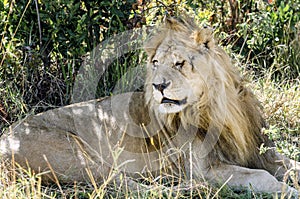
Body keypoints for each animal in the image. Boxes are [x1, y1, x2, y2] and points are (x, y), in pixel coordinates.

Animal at [0, 17, 298, 196]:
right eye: (155, 63)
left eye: (179, 63)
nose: (157, 85)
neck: (216, 107)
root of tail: (5, 138)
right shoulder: (206, 168)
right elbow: (263, 177)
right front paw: (291, 191)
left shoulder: (260, 151)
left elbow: (290, 164)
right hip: (76, 155)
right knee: (129, 187)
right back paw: (187, 188)